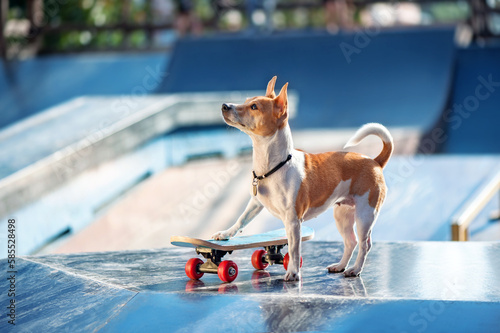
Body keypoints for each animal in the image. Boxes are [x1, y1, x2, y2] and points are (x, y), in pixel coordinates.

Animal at [211, 76, 390, 280]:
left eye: (254, 107)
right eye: (246, 100)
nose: (225, 105)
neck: (272, 166)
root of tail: (374, 161)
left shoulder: (293, 221)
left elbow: (294, 248)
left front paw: (293, 272)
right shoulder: (255, 203)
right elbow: (241, 220)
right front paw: (226, 233)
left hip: (365, 215)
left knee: (364, 244)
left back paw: (355, 269)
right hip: (343, 215)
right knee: (350, 242)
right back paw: (340, 266)